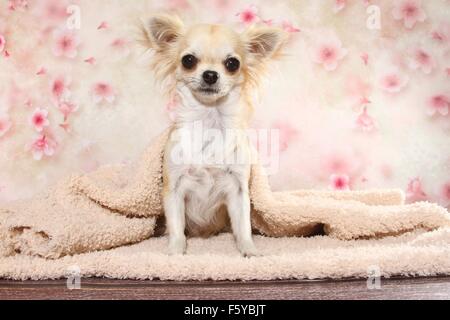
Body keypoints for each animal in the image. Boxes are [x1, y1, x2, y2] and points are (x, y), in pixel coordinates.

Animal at [142, 13, 286, 256]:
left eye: (232, 63)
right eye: (188, 60)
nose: (210, 74)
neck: (209, 119)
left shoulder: (238, 189)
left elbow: (243, 226)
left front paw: (249, 249)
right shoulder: (173, 189)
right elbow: (176, 227)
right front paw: (175, 252)